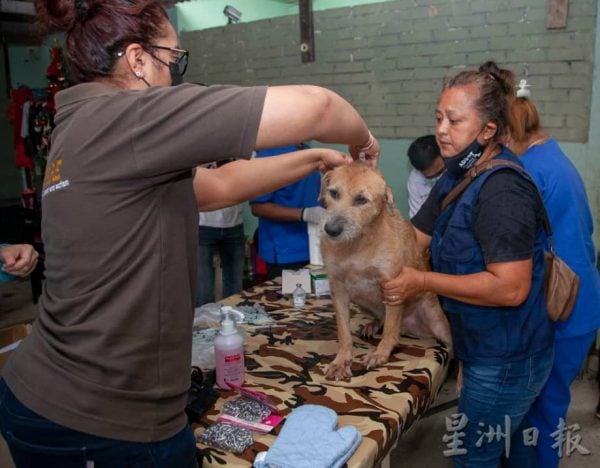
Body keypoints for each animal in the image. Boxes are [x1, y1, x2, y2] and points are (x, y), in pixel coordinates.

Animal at [322, 164, 448, 380]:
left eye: (361, 200)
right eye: (334, 193)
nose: (331, 230)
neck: (357, 245)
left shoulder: (393, 287)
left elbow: (390, 331)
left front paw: (380, 353)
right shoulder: (338, 290)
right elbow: (344, 333)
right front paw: (341, 360)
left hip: (438, 321)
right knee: (382, 318)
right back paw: (374, 324)